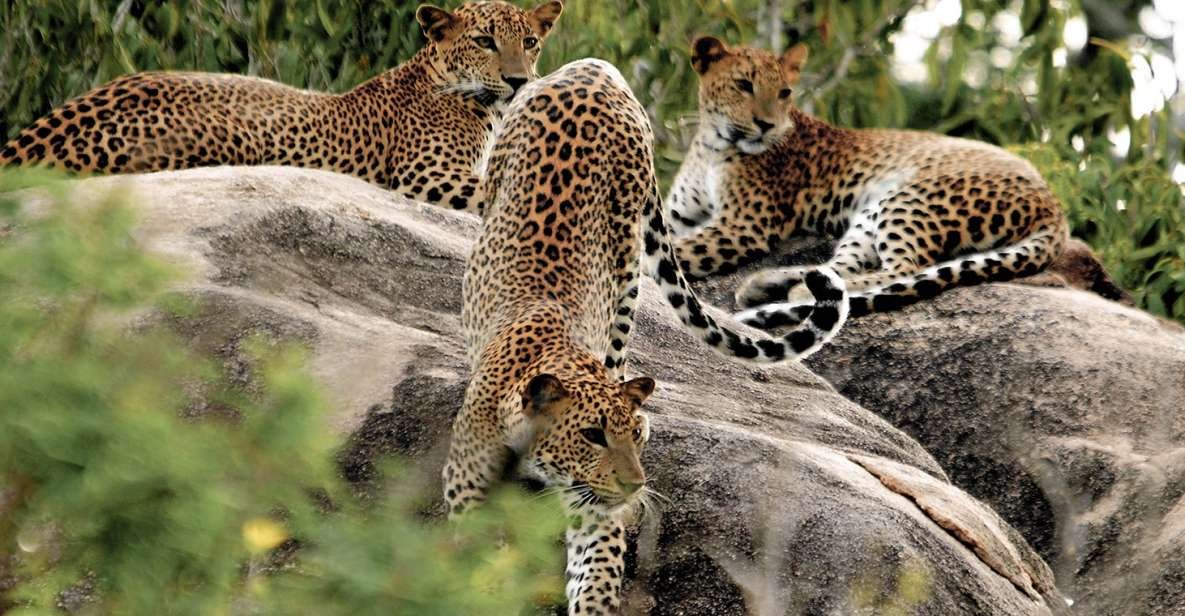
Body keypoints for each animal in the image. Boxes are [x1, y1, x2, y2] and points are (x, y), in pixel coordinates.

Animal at [447, 58, 849, 615]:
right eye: (592, 435)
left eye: (634, 436)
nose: (636, 485)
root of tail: (594, 67)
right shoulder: (466, 493)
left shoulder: (594, 509)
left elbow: (595, 573)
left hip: (628, 270)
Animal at [665, 37, 1069, 329]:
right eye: (743, 85)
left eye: (784, 93)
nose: (767, 125)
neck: (711, 144)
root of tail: (1055, 206)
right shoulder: (677, 215)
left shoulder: (743, 224)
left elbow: (678, 251)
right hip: (871, 211)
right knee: (839, 268)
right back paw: (767, 284)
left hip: (910, 198)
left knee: (904, 269)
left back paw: (793, 293)